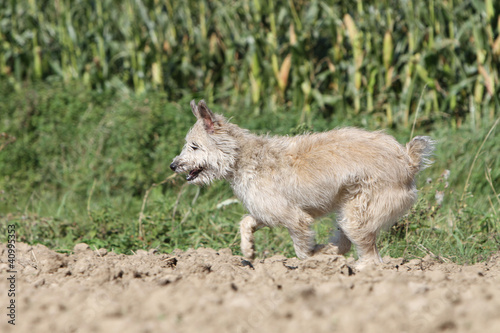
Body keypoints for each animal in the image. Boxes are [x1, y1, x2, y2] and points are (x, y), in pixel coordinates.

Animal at [171, 100, 434, 266]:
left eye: (194, 146)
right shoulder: (267, 211)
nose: (173, 165)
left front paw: (314, 260)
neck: (242, 158)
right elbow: (245, 221)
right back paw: (332, 252)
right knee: (347, 245)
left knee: (371, 259)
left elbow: (301, 251)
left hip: (359, 216)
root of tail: (408, 161)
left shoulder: (295, 218)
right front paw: (249, 250)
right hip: (349, 212)